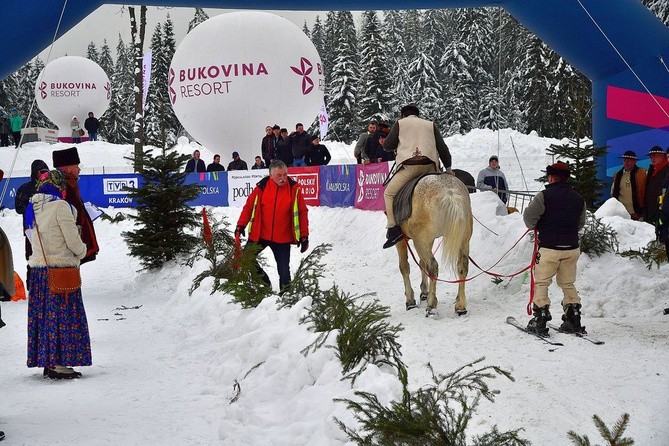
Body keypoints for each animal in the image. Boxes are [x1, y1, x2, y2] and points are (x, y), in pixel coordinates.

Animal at [394, 172, 472, 316]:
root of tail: (449, 193)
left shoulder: (402, 240)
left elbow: (404, 267)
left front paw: (410, 300)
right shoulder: (429, 240)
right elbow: (421, 263)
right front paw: (424, 292)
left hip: (420, 241)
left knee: (433, 266)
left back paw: (431, 305)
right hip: (464, 239)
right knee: (462, 266)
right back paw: (460, 306)